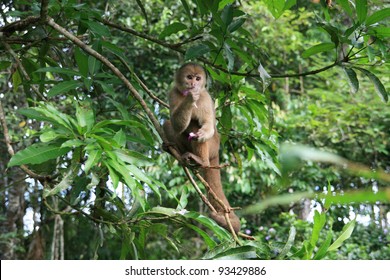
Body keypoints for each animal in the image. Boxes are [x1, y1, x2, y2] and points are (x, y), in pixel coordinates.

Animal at [161, 62, 241, 233]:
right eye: (189, 77)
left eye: (198, 78)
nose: (193, 84)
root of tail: (216, 151)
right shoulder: (173, 92)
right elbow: (176, 123)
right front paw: (190, 98)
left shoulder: (205, 97)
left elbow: (207, 125)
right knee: (170, 124)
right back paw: (175, 150)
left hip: (212, 146)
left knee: (196, 127)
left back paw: (201, 161)